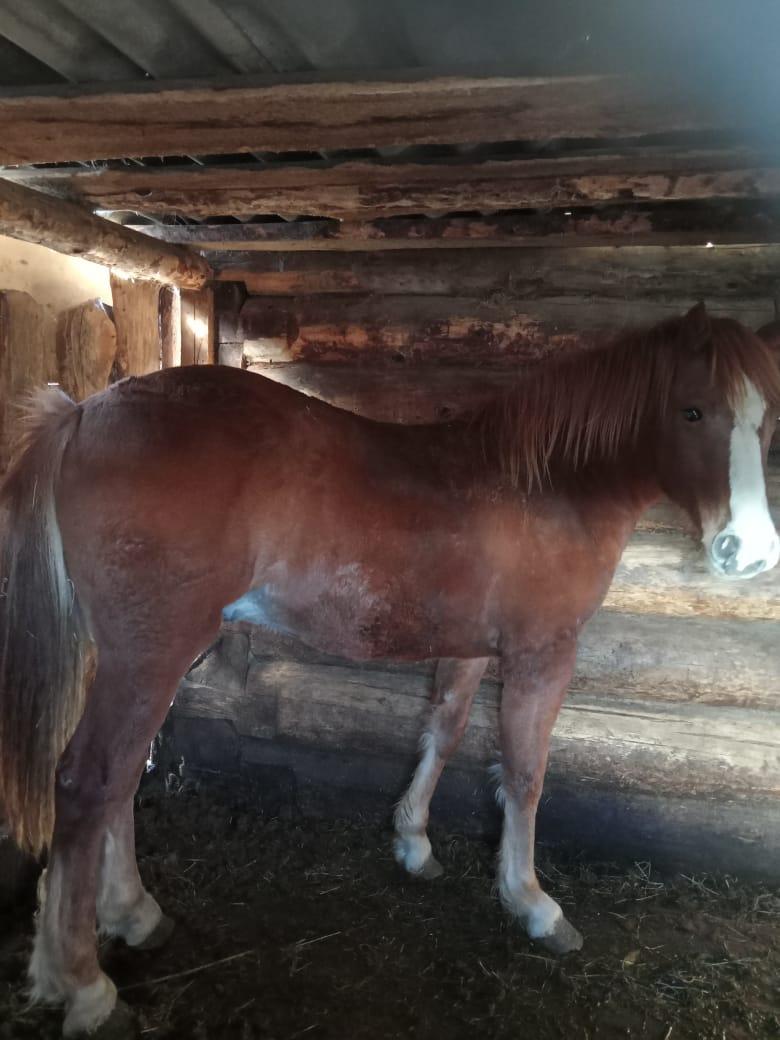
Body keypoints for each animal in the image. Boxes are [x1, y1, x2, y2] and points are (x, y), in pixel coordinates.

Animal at [0, 301, 777, 1031]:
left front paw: (413, 841)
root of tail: (82, 413)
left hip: (136, 654)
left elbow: (443, 730)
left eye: (765, 417)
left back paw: (134, 914)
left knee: (123, 779)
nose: (749, 551)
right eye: (692, 409)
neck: (551, 485)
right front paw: (531, 902)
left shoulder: (470, 649)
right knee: (89, 781)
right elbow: (526, 775)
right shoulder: (542, 655)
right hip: (152, 650)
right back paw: (85, 984)